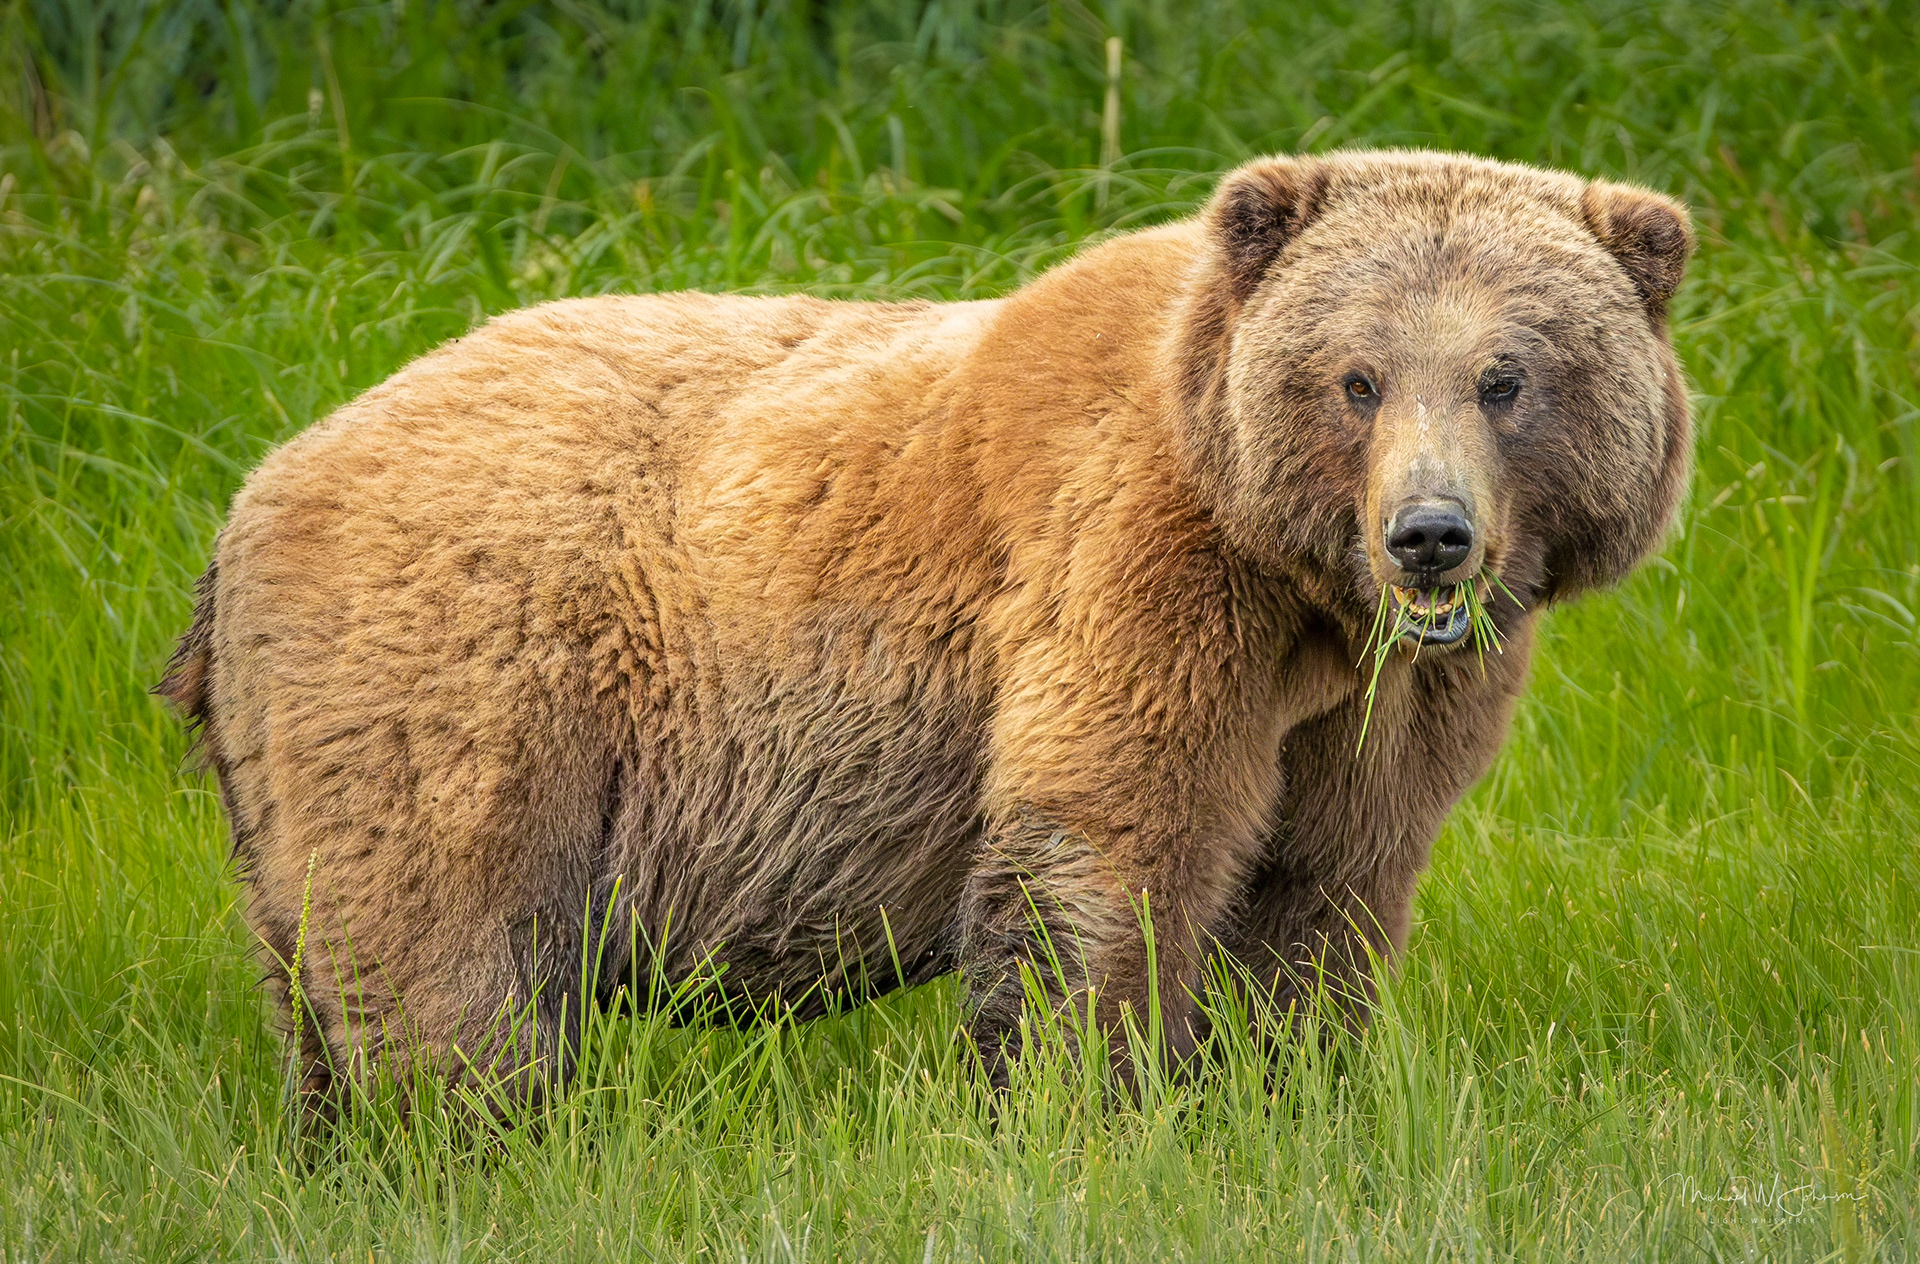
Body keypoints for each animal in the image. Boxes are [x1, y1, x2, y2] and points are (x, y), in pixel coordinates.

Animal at [160, 148, 1692, 1103]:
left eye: (1509, 375)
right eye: (1357, 376)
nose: (1429, 535)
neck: (1303, 589)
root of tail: (253, 496)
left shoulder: (1383, 699)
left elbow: (1322, 890)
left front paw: (1285, 1085)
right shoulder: (1142, 569)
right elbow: (1106, 838)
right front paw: (1082, 1095)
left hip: (285, 766)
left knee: (309, 977)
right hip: (466, 670)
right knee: (448, 953)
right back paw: (480, 1134)